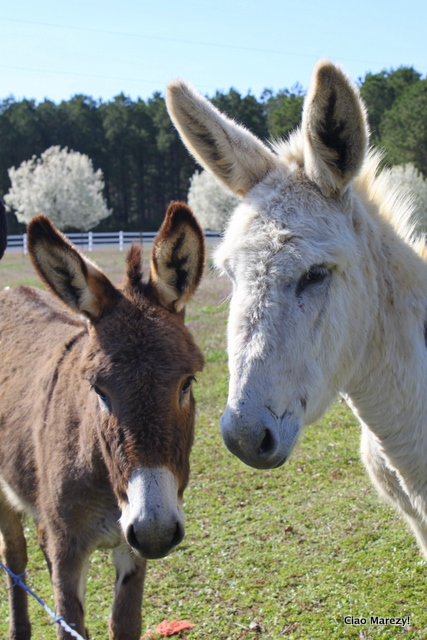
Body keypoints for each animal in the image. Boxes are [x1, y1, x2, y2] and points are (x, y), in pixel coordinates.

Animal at [0, 201, 205, 640]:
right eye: (99, 391)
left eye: (187, 383)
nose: (156, 530)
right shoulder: (69, 548)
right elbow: (68, 621)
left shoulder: (131, 545)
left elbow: (124, 623)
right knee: (15, 556)